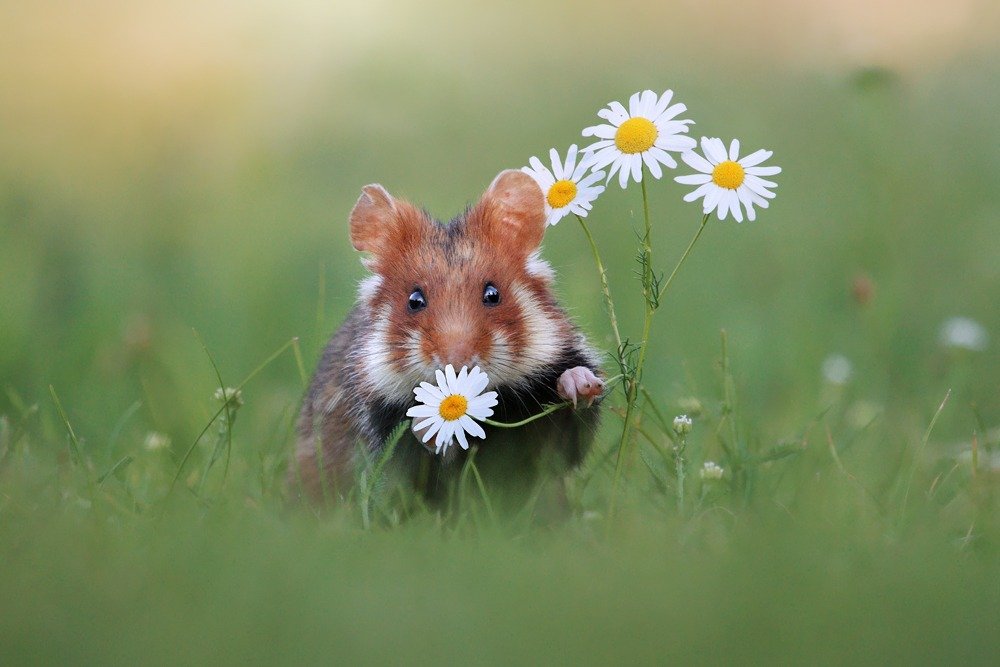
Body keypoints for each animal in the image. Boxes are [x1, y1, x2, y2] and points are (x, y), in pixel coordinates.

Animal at [290, 171, 600, 506]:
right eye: (414, 300)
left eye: (493, 294)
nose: (457, 361)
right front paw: (429, 426)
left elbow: (566, 442)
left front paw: (579, 382)